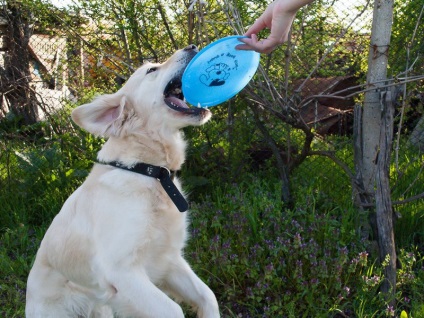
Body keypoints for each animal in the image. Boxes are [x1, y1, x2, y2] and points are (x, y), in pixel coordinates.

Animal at [24, 45, 220, 318]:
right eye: (152, 70)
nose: (191, 47)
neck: (148, 171)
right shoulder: (121, 272)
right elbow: (174, 310)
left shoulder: (169, 260)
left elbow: (208, 296)